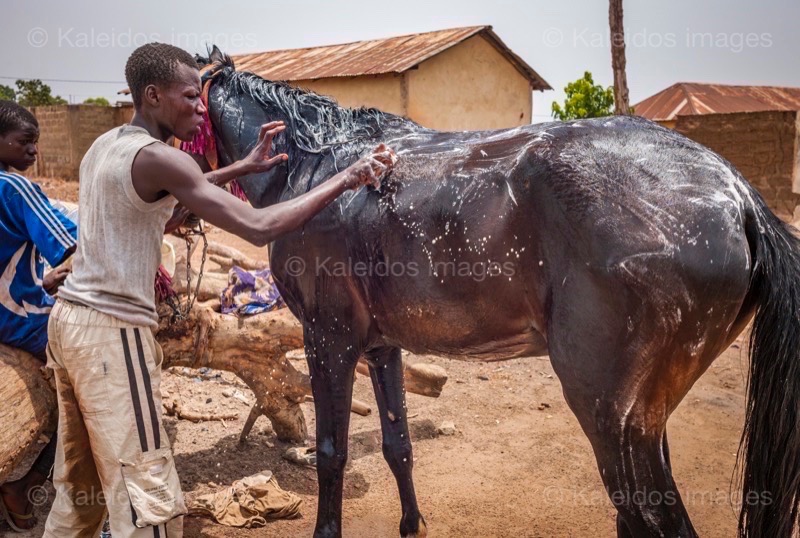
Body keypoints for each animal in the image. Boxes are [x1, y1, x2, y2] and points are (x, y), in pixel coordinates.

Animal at [197, 49, 796, 536]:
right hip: (647, 419)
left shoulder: (329, 341)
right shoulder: (381, 346)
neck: (316, 166)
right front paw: (412, 524)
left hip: (613, 417)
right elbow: (398, 446)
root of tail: (738, 194)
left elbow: (331, 454)